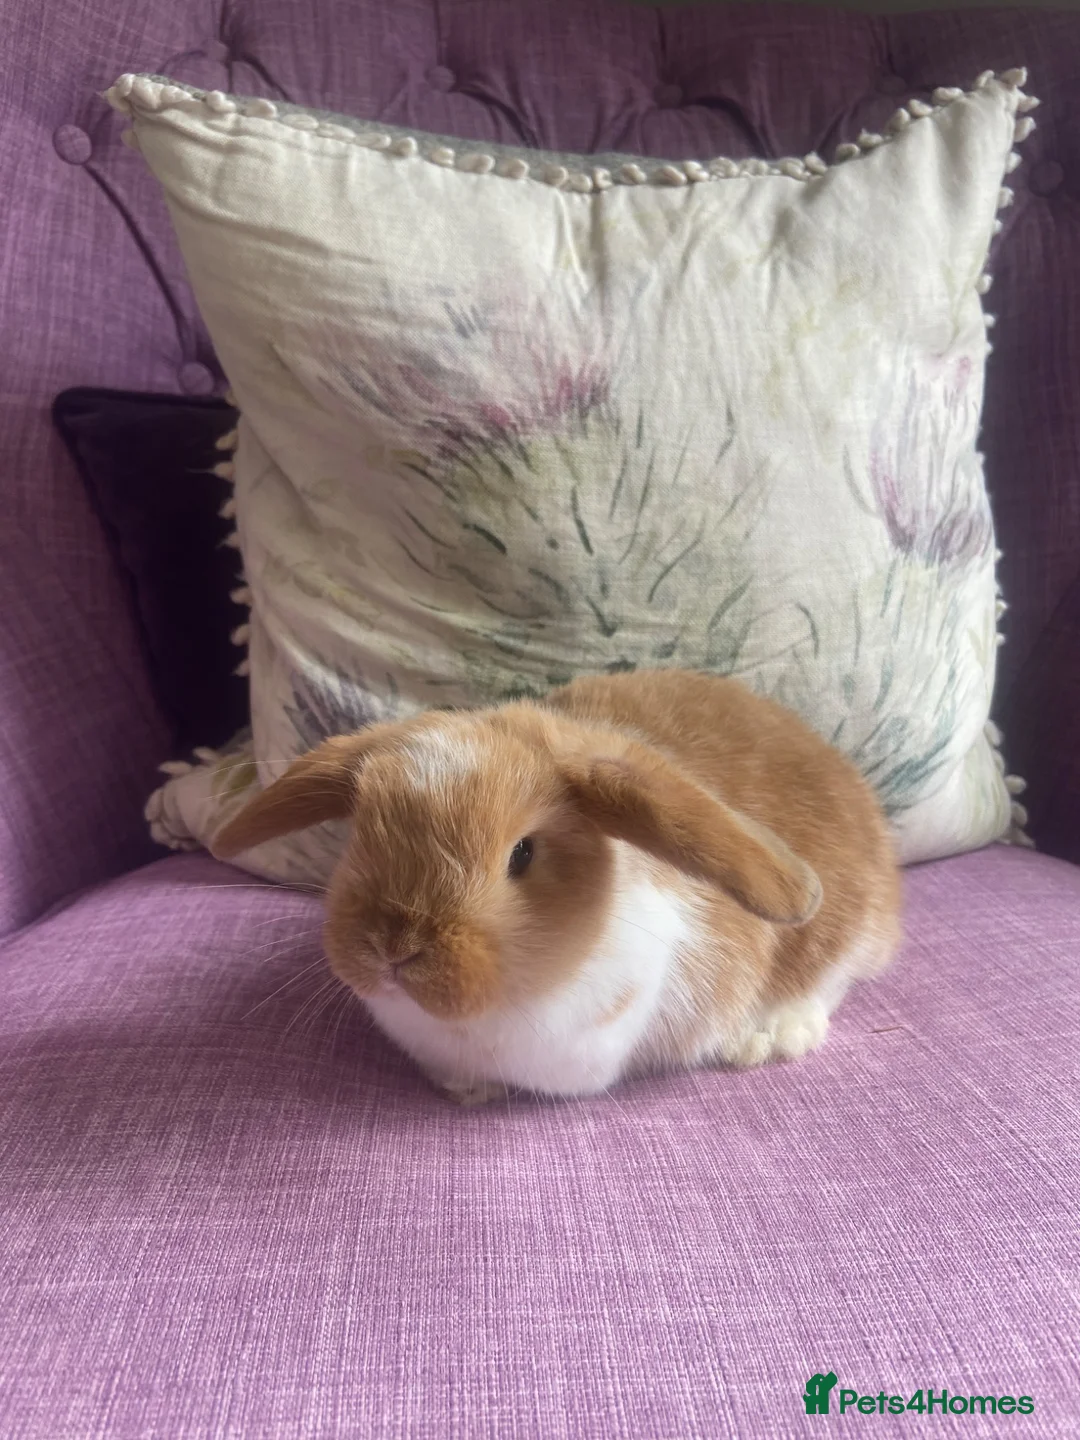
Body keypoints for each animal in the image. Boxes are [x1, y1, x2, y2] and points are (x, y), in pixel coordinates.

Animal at [212, 670, 900, 1104]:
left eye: (522, 854)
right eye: (362, 834)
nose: (394, 948)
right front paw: (468, 1090)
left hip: (846, 935)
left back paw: (767, 1037)